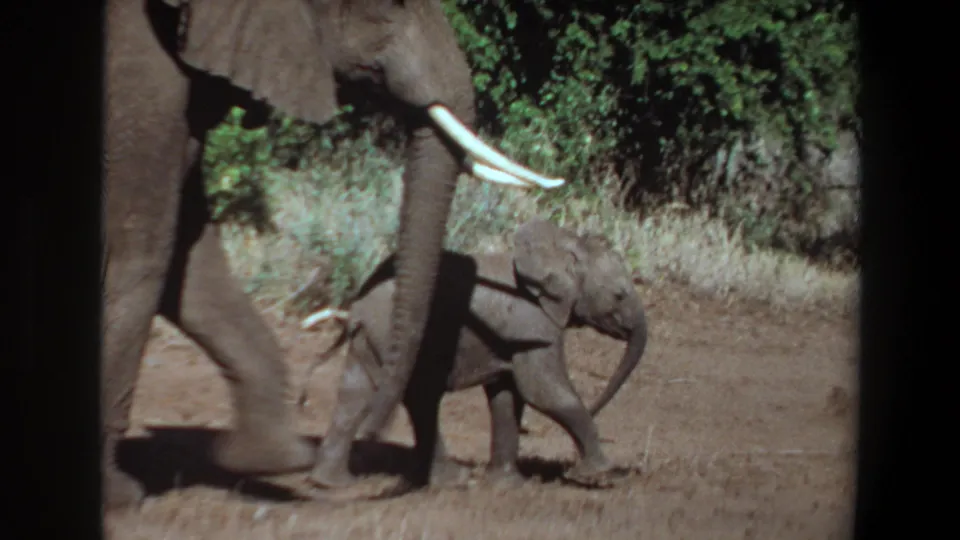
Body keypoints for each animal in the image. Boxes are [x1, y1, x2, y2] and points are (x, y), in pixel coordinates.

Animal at [102, 0, 563, 510]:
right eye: (392, 8)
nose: (375, 433)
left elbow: (188, 265)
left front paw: (271, 458)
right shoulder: (140, 85)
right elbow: (142, 259)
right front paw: (119, 495)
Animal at [297, 219, 649, 488]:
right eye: (619, 295)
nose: (596, 405)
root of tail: (356, 309)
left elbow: (507, 397)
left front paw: (507, 485)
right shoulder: (534, 326)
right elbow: (543, 392)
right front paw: (602, 476)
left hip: (373, 339)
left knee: (355, 393)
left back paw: (332, 484)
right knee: (419, 397)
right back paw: (453, 481)